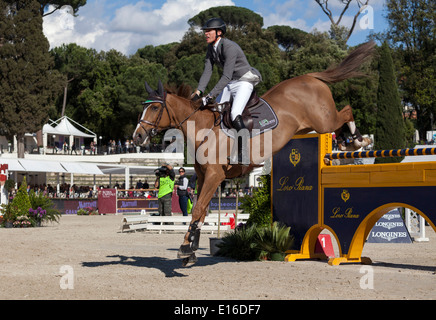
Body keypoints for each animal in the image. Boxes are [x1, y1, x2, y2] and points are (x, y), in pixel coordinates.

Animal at [132, 40, 374, 264]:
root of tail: (310, 77)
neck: (203, 128)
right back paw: (347, 143)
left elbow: (198, 208)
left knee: (346, 111)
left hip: (324, 120)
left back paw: (358, 141)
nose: (137, 137)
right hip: (311, 126)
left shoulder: (215, 175)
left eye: (155, 107)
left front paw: (186, 248)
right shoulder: (203, 177)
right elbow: (200, 211)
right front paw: (190, 248)